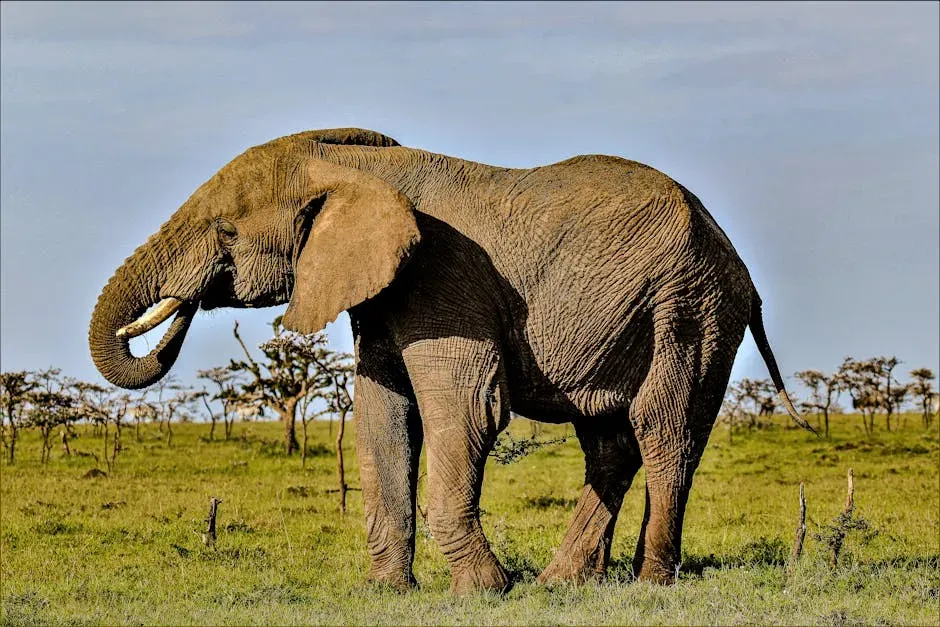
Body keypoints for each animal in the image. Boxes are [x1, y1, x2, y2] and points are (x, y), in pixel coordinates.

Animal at [89, 127, 810, 594]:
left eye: (227, 232)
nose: (187, 303)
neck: (350, 165)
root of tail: (738, 263)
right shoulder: (385, 291)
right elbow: (382, 415)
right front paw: (386, 592)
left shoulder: (441, 278)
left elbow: (464, 410)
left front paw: (485, 591)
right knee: (610, 442)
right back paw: (561, 583)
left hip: (689, 307)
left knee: (664, 432)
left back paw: (649, 582)